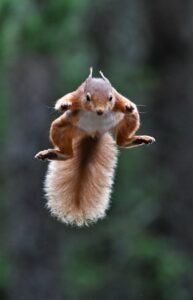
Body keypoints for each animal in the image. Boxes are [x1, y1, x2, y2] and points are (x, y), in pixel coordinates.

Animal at [34, 69, 155, 226]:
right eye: (87, 97)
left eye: (110, 97)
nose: (100, 111)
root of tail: (94, 134)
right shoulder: (77, 95)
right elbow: (67, 98)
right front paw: (64, 104)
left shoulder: (118, 97)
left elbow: (123, 101)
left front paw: (128, 106)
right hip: (60, 128)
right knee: (69, 153)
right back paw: (55, 154)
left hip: (130, 119)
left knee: (122, 140)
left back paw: (136, 139)